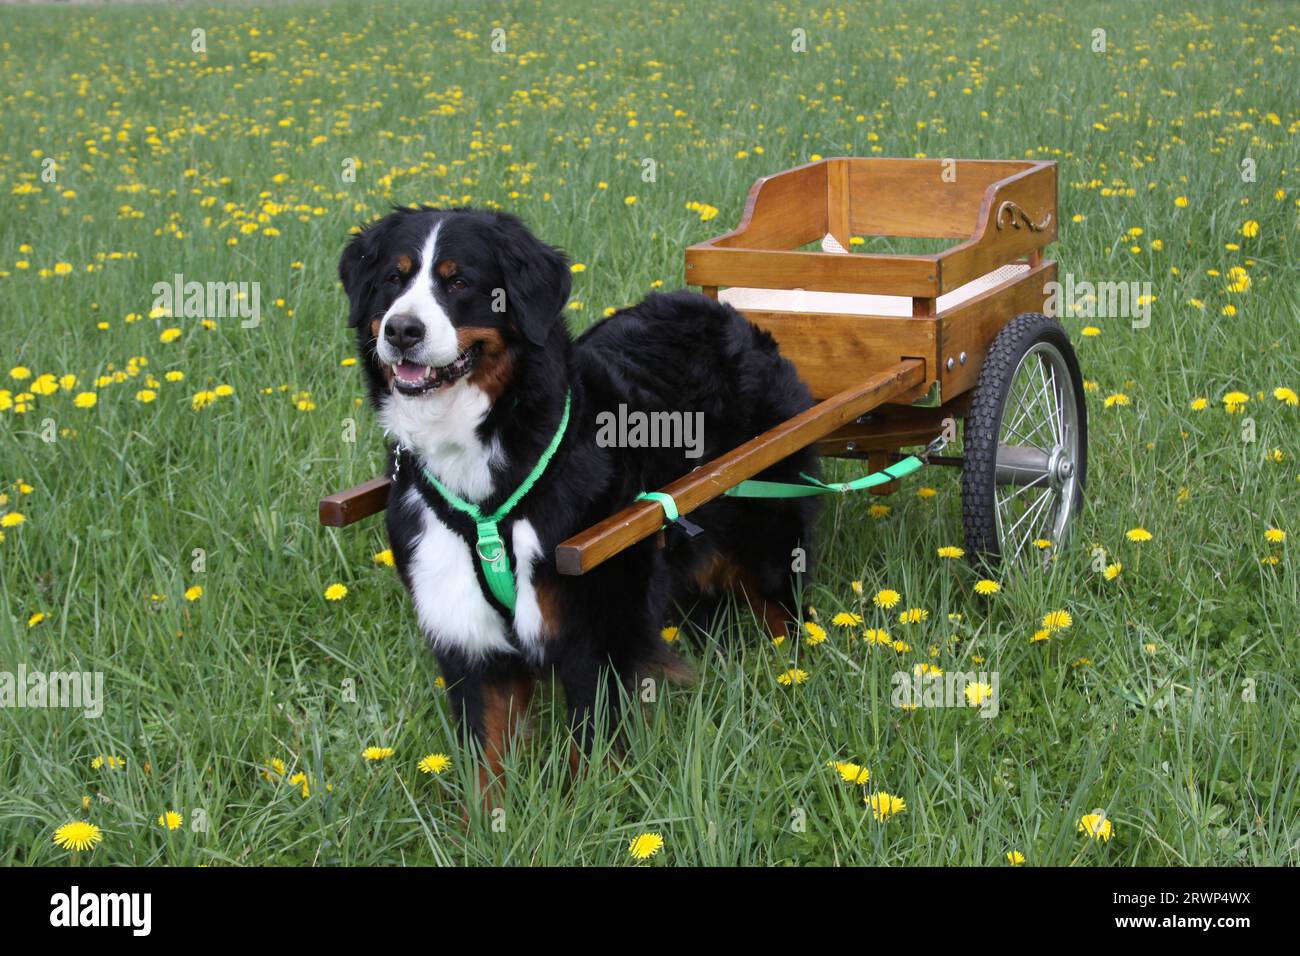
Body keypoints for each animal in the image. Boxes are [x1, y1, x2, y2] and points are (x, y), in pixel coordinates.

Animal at [340, 208, 816, 785]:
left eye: (459, 283)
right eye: (394, 278)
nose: (402, 330)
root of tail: (729, 315)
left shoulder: (594, 628)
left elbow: (590, 758)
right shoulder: (466, 634)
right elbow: (484, 770)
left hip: (771, 537)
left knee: (783, 613)